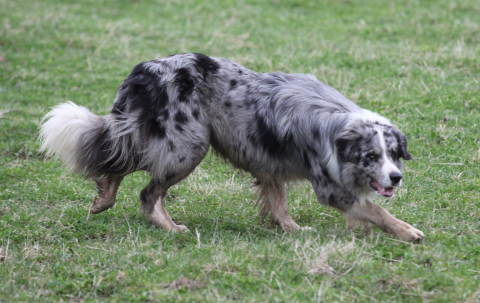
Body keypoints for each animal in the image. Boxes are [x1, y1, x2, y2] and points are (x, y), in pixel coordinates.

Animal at [40, 52, 424, 242]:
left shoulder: (269, 161)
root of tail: (145, 71)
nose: (396, 177)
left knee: (116, 159)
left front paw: (293, 231)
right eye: (371, 156)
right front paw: (407, 232)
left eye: (394, 154)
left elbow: (279, 204)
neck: (337, 127)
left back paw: (104, 198)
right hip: (188, 146)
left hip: (156, 136)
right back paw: (169, 228)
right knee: (147, 191)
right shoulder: (329, 188)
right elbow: (376, 210)